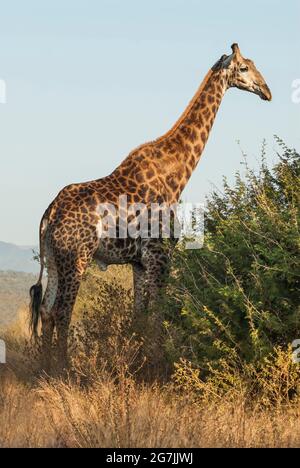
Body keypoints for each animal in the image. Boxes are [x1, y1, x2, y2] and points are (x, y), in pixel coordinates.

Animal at [29, 44, 272, 372]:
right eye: (244, 67)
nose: (267, 91)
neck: (177, 173)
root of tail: (50, 214)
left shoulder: (139, 262)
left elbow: (139, 317)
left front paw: (137, 363)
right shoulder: (159, 255)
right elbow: (157, 316)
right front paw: (155, 367)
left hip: (54, 259)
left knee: (45, 310)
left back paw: (42, 369)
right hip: (76, 257)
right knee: (62, 312)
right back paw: (63, 369)